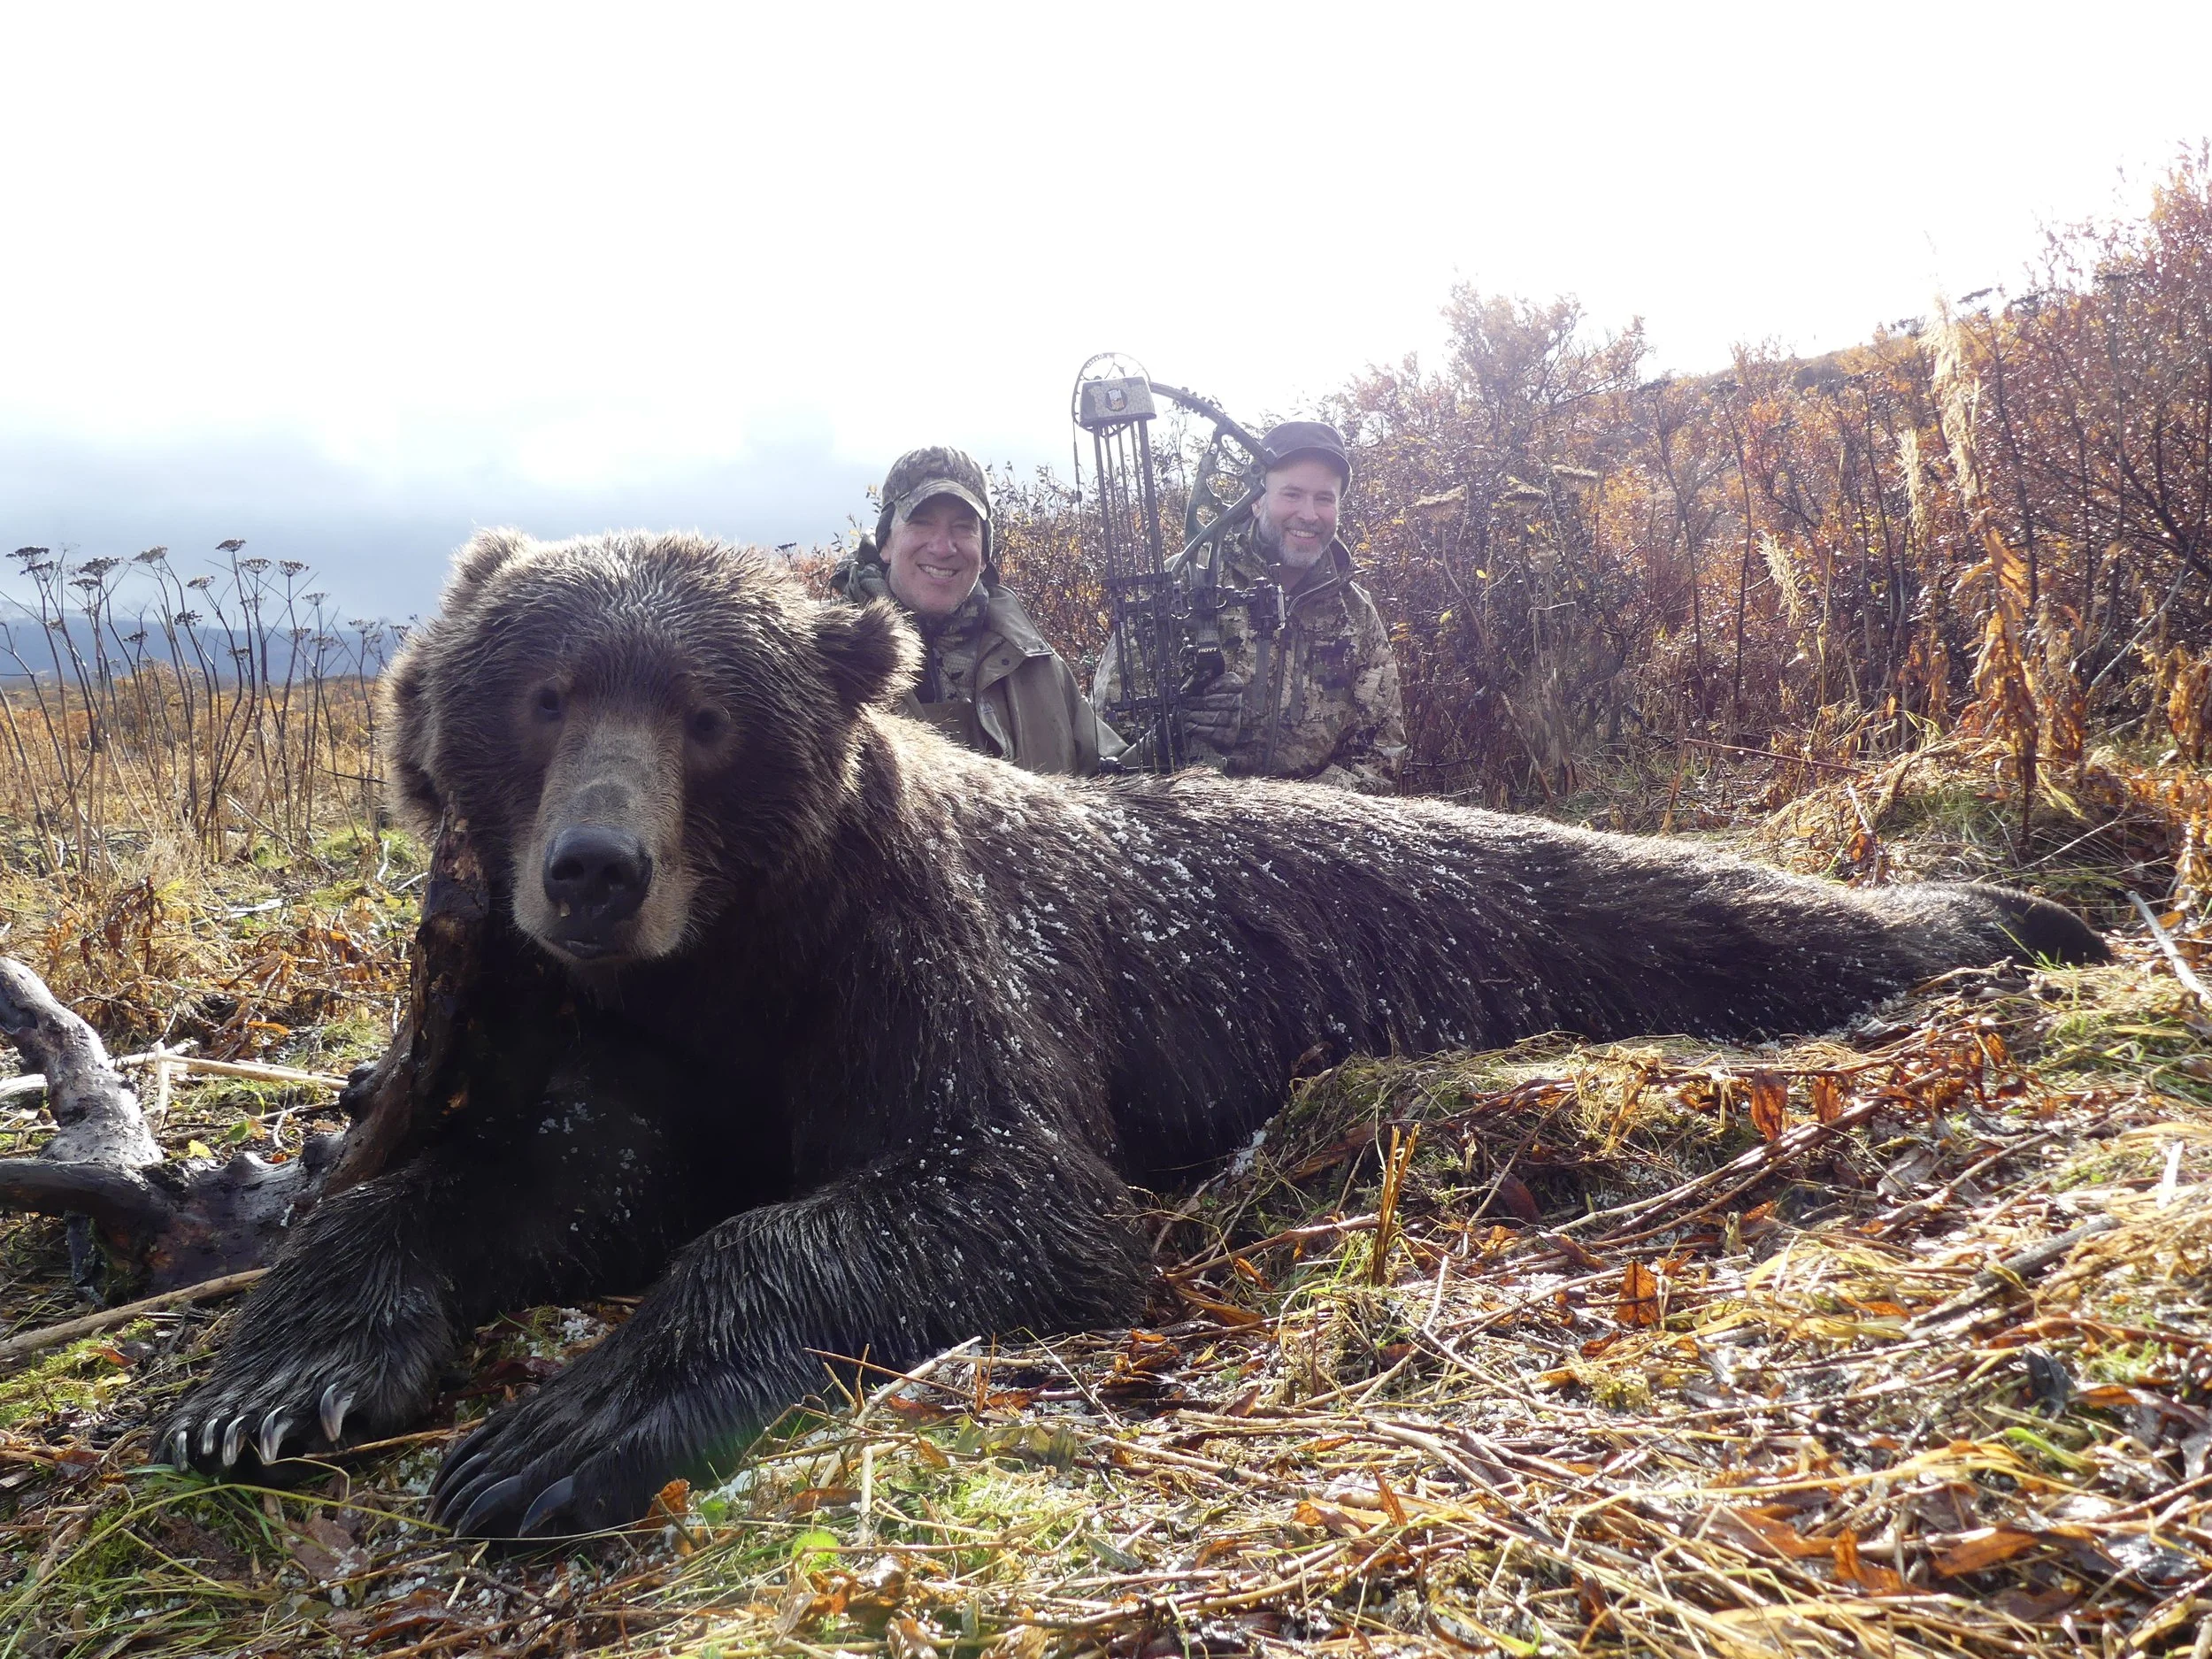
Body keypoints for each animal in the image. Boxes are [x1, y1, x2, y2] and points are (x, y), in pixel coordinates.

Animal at [159, 529, 2106, 1536]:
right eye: (547, 693)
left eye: (704, 716)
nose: (590, 870)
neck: (729, 963)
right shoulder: (637, 1039)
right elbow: (532, 1183)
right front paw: (269, 1381)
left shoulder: (923, 965)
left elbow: (1005, 1193)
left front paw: (562, 1428)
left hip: (1579, 917)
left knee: (1739, 913)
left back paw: (2012, 913)